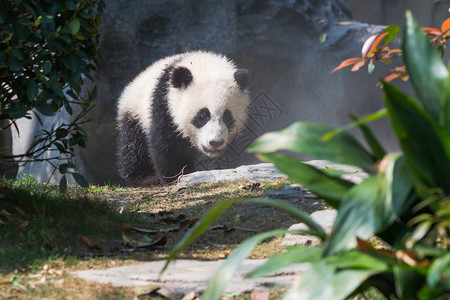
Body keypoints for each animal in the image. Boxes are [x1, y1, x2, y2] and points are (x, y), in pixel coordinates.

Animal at [116, 52, 250, 185]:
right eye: (203, 115)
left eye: (227, 116)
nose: (215, 142)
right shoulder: (164, 106)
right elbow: (166, 146)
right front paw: (174, 177)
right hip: (135, 112)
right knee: (134, 146)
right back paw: (145, 177)